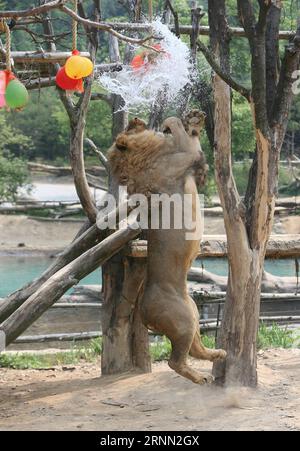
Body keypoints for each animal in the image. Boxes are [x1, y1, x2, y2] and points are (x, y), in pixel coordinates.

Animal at [109, 111, 226, 384]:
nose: (136, 119)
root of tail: (143, 310)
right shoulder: (187, 155)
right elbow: (180, 130)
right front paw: (178, 121)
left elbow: (188, 135)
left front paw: (194, 119)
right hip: (183, 322)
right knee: (176, 361)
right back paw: (201, 377)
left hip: (192, 315)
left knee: (196, 350)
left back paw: (218, 354)